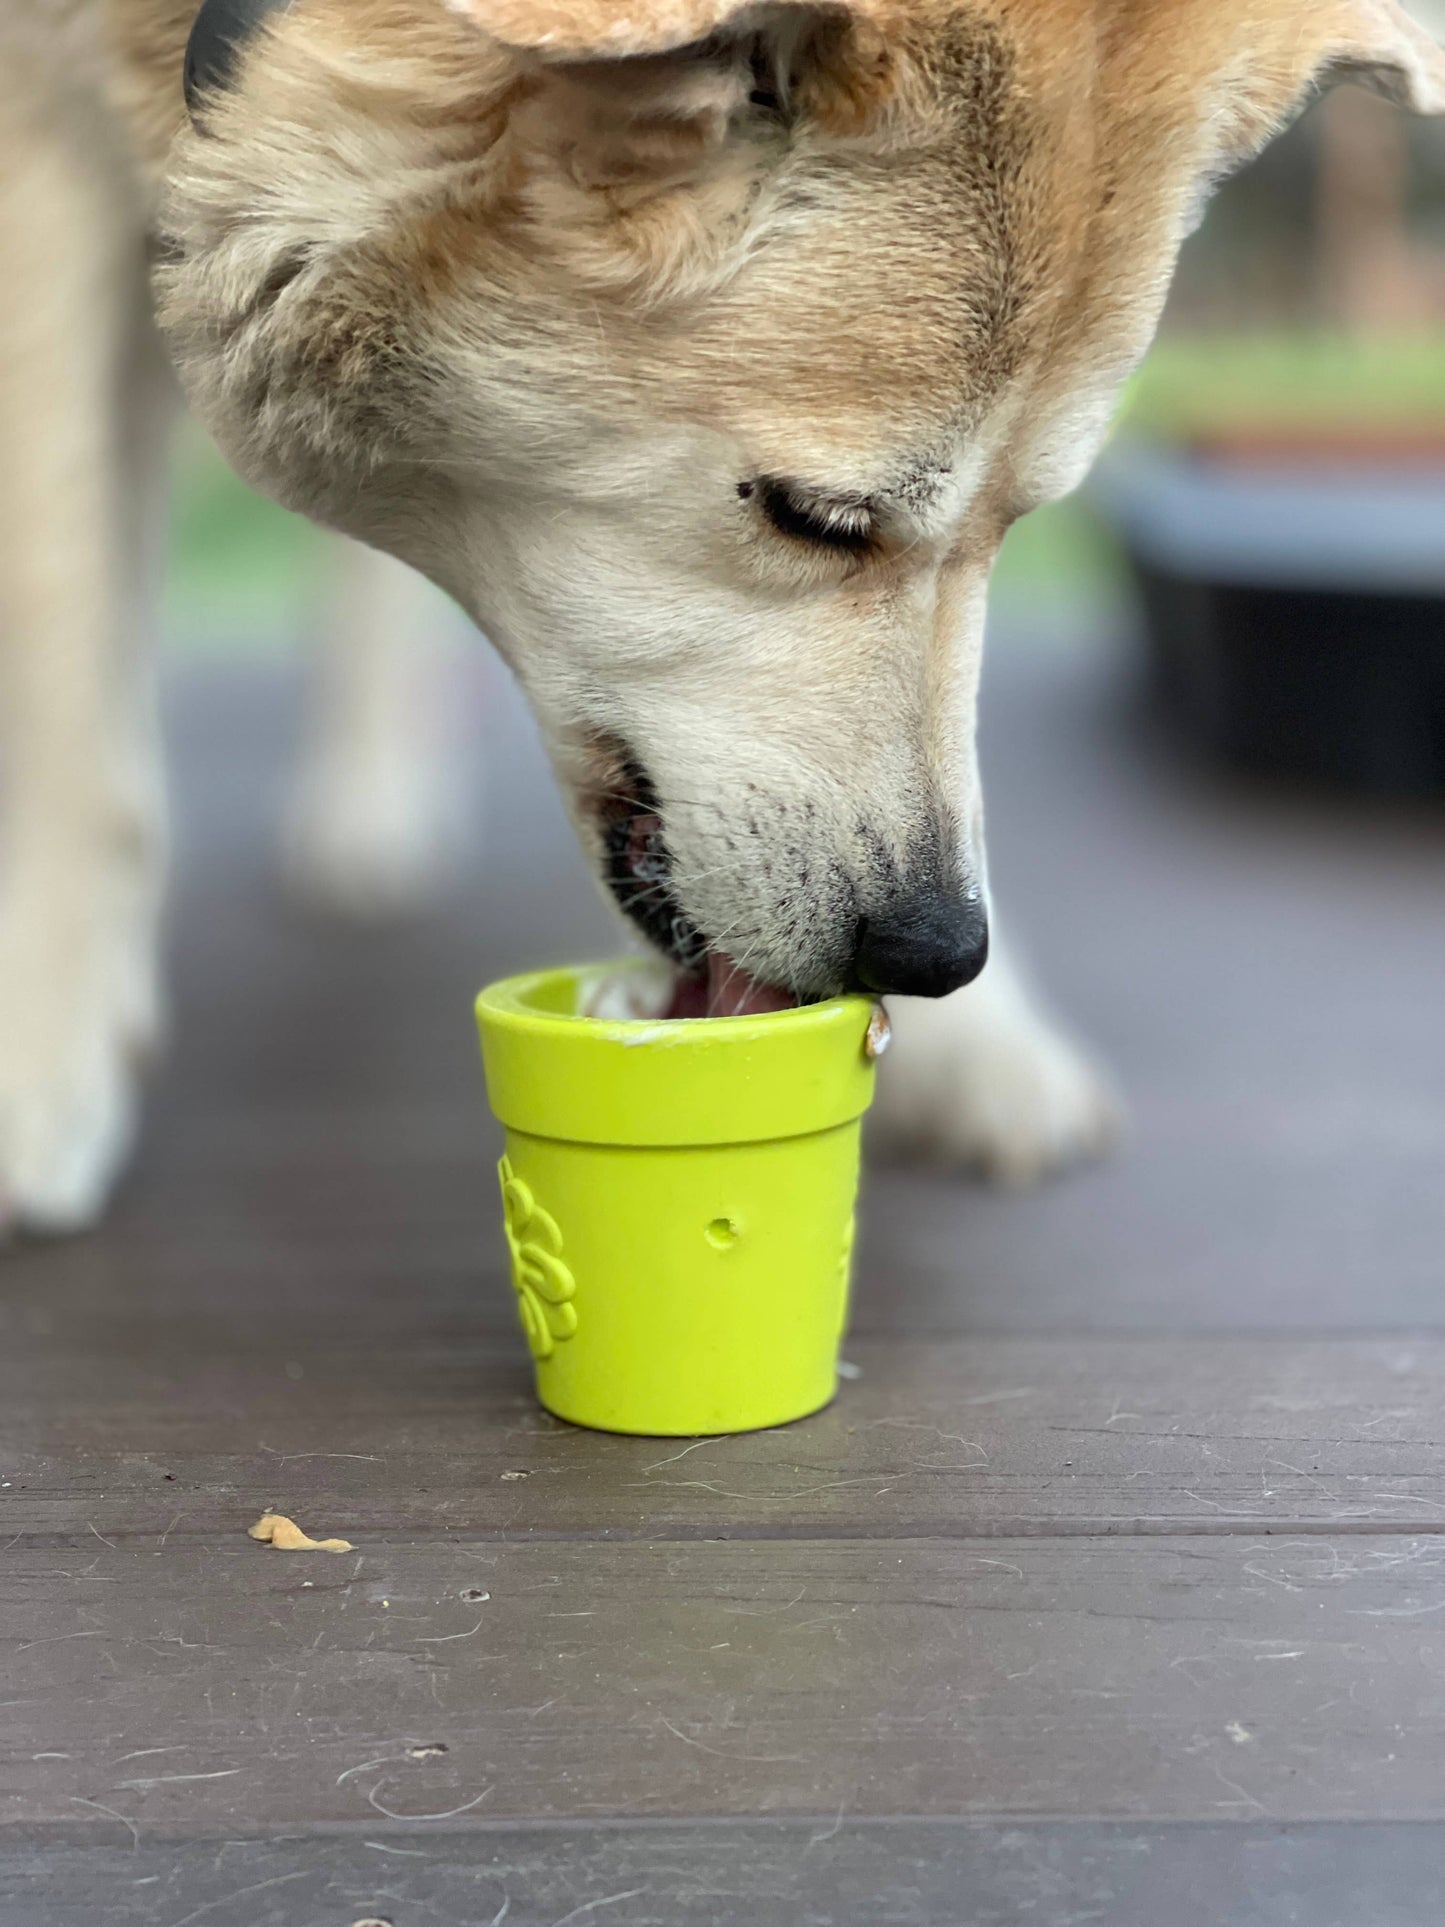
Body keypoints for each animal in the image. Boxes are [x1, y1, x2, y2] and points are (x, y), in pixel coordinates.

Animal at [2, 0, 1445, 1233]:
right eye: (818, 518)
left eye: (1021, 526)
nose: (936, 950)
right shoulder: (41, 147)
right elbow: (66, 661)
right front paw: (44, 1056)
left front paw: (976, 1041)